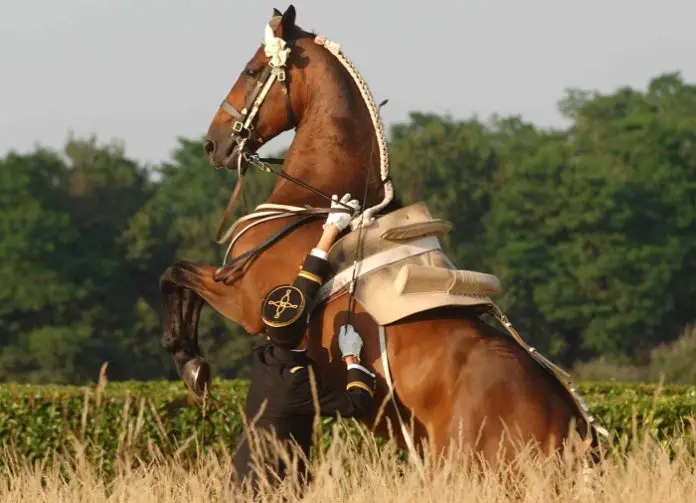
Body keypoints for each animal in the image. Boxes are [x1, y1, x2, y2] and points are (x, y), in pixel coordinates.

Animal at [161, 5, 602, 467]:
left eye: (251, 70)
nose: (213, 144)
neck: (313, 203)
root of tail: (575, 429)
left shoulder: (248, 299)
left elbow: (175, 274)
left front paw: (191, 364)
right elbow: (177, 277)